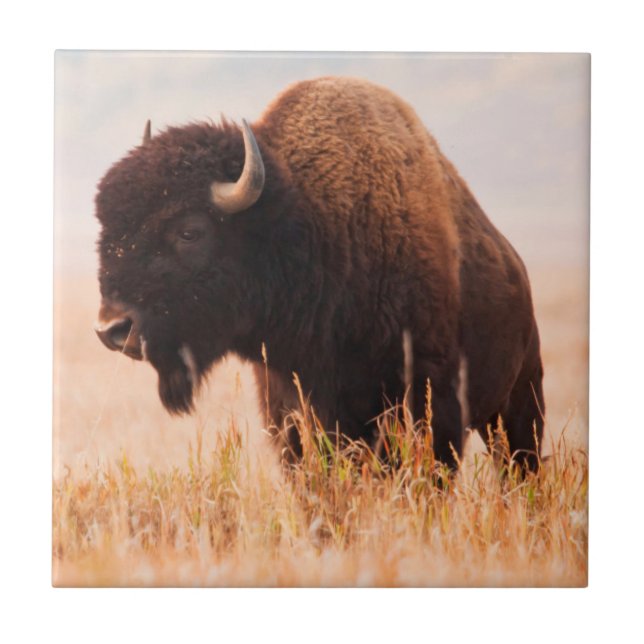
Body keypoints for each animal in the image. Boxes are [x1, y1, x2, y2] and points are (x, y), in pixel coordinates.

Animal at [94, 77, 545, 471]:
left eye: (189, 232)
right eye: (107, 228)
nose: (112, 328)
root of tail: (516, 266)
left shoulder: (431, 404)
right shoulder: (290, 410)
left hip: (519, 402)